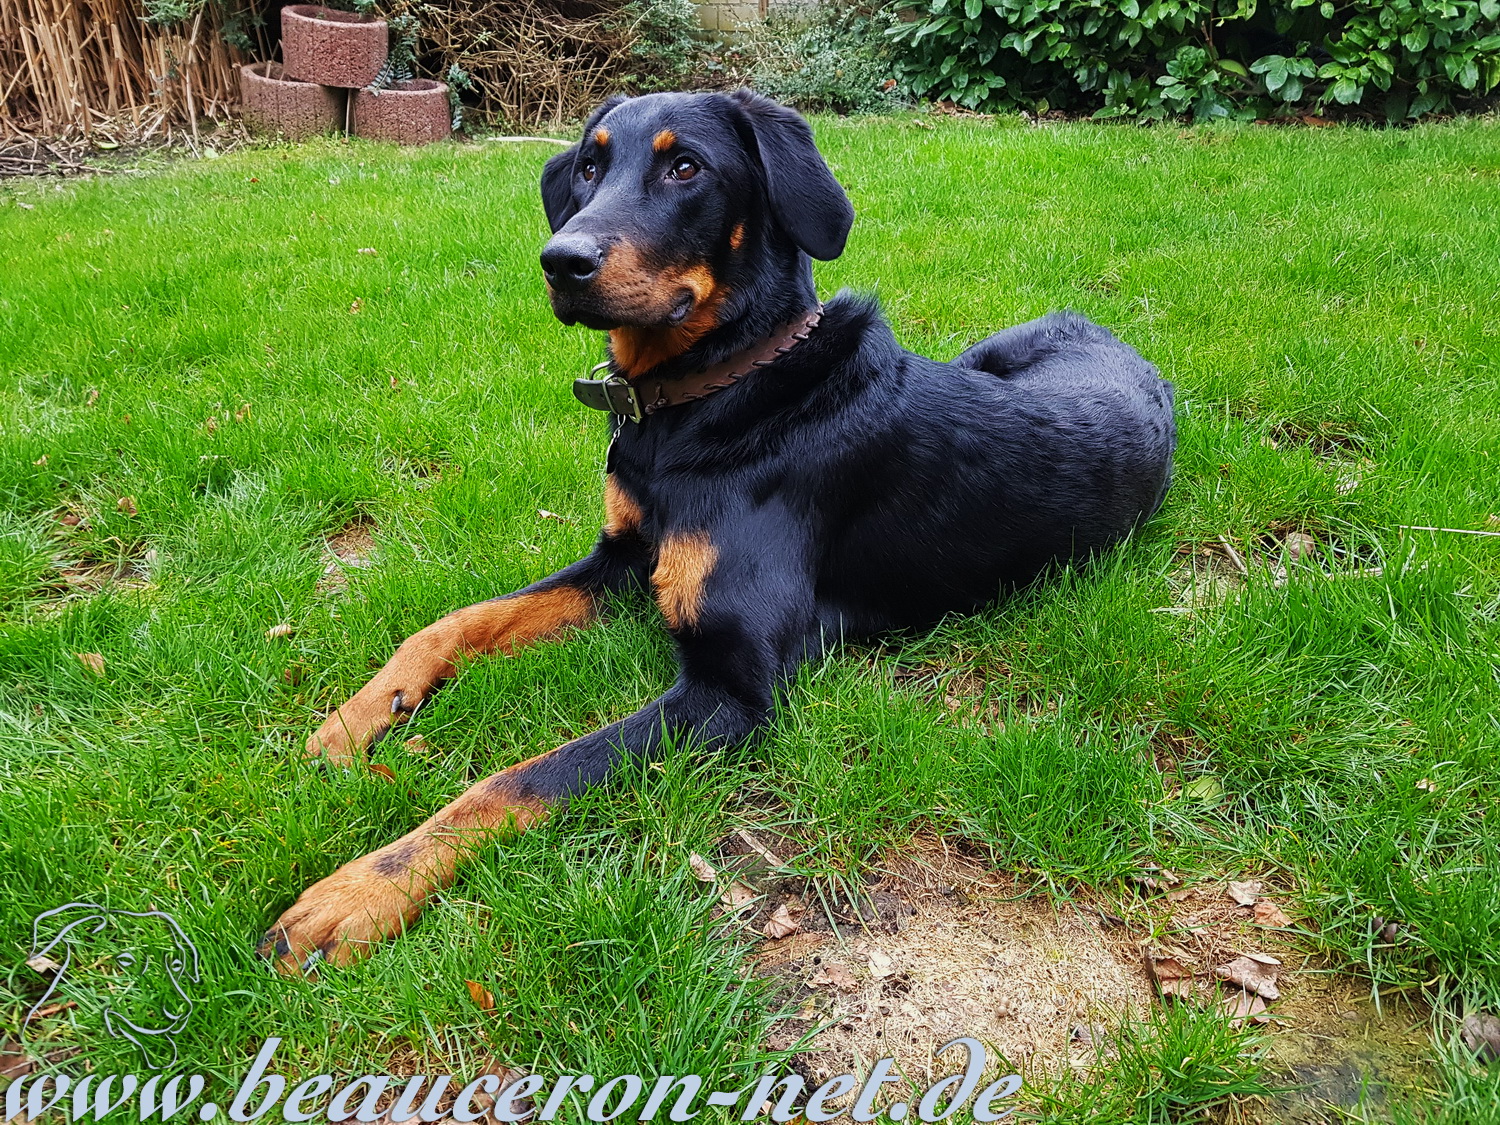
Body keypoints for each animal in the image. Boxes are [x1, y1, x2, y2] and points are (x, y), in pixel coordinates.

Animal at [259, 90, 1175, 973]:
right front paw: (357, 718)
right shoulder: (622, 558)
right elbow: (451, 623)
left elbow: (521, 777)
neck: (712, 398)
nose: (561, 261)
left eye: (686, 168)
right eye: (588, 166)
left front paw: (357, 892)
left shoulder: (731, 688)